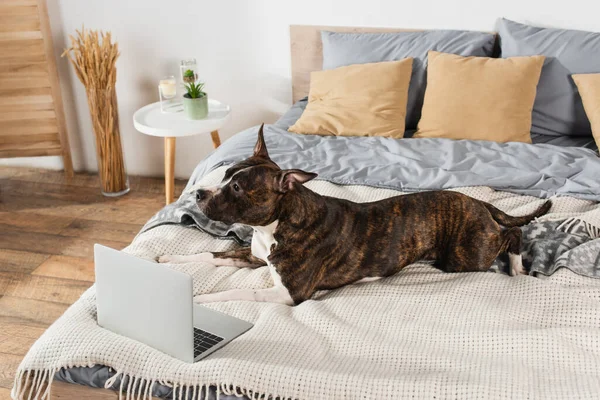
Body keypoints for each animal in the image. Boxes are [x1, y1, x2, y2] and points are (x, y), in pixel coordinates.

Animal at [158, 125, 548, 306]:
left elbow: (242, 292)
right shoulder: (254, 256)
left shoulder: (289, 294)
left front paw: (200, 299)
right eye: (225, 173)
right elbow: (208, 254)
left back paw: (516, 266)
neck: (275, 224)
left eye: (238, 187)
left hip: (467, 254)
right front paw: (167, 261)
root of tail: (477, 202)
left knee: (512, 234)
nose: (198, 193)